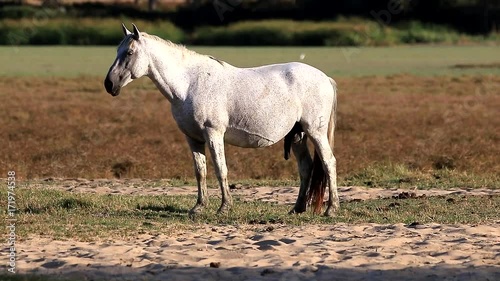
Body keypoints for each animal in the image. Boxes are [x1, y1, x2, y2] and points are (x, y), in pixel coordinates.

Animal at [105, 24, 340, 217]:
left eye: (129, 52)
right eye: (117, 51)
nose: (109, 84)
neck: (189, 84)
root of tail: (325, 78)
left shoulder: (213, 133)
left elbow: (220, 169)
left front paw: (225, 207)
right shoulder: (193, 138)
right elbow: (200, 171)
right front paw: (198, 207)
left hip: (315, 132)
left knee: (328, 162)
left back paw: (331, 209)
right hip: (298, 135)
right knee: (306, 167)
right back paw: (297, 209)